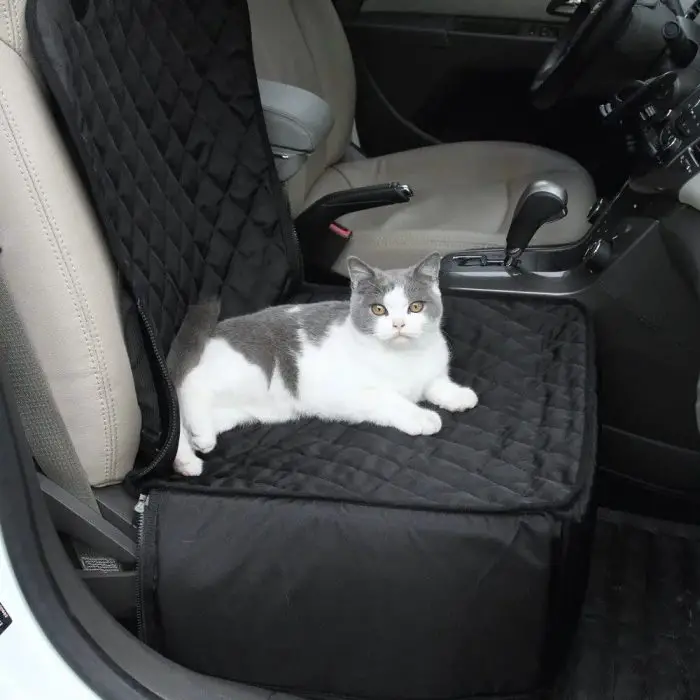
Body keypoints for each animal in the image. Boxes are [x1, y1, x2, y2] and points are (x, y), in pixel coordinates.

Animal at [170, 254, 478, 478]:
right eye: (379, 309)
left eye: (415, 307)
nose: (399, 324)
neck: (404, 358)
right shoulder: (350, 393)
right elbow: (389, 399)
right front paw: (421, 417)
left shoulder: (430, 373)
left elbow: (436, 384)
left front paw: (459, 395)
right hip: (250, 368)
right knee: (190, 387)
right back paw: (199, 437)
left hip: (232, 411)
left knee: (182, 424)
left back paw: (190, 455)